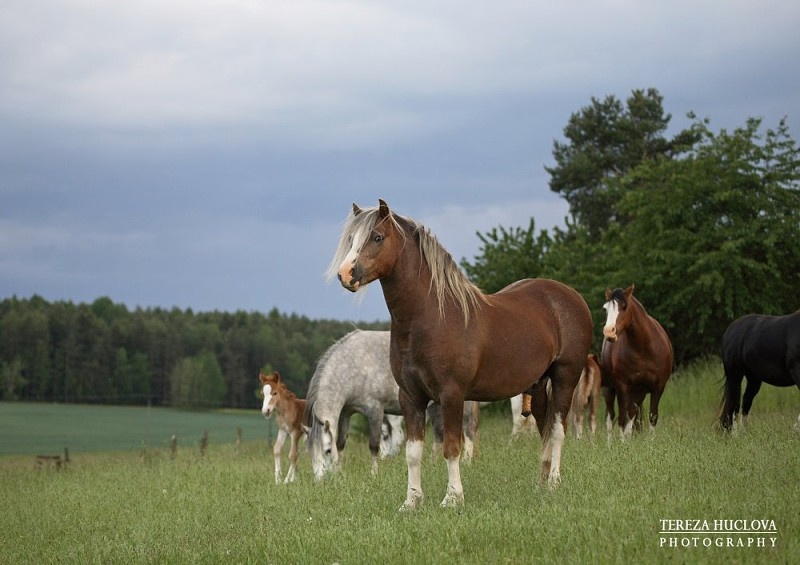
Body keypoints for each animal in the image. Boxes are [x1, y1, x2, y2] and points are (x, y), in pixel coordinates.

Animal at [303, 329, 403, 480]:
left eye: (328, 451)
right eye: (310, 452)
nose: (321, 482)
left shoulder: (376, 411)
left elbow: (374, 445)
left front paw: (374, 475)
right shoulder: (346, 412)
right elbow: (340, 444)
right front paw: (340, 472)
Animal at [330, 200, 593, 509]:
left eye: (377, 237)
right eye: (351, 239)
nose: (346, 274)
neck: (431, 317)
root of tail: (571, 297)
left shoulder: (451, 394)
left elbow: (452, 447)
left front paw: (453, 498)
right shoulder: (410, 397)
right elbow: (413, 453)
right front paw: (412, 501)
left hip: (565, 376)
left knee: (558, 430)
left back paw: (553, 483)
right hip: (538, 385)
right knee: (544, 428)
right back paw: (540, 484)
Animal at [599, 285, 673, 439]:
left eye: (624, 306)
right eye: (605, 308)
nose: (609, 332)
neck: (643, 348)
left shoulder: (658, 388)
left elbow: (652, 417)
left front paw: (650, 442)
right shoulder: (622, 387)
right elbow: (622, 419)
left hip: (638, 393)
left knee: (631, 415)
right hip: (610, 390)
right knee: (610, 417)